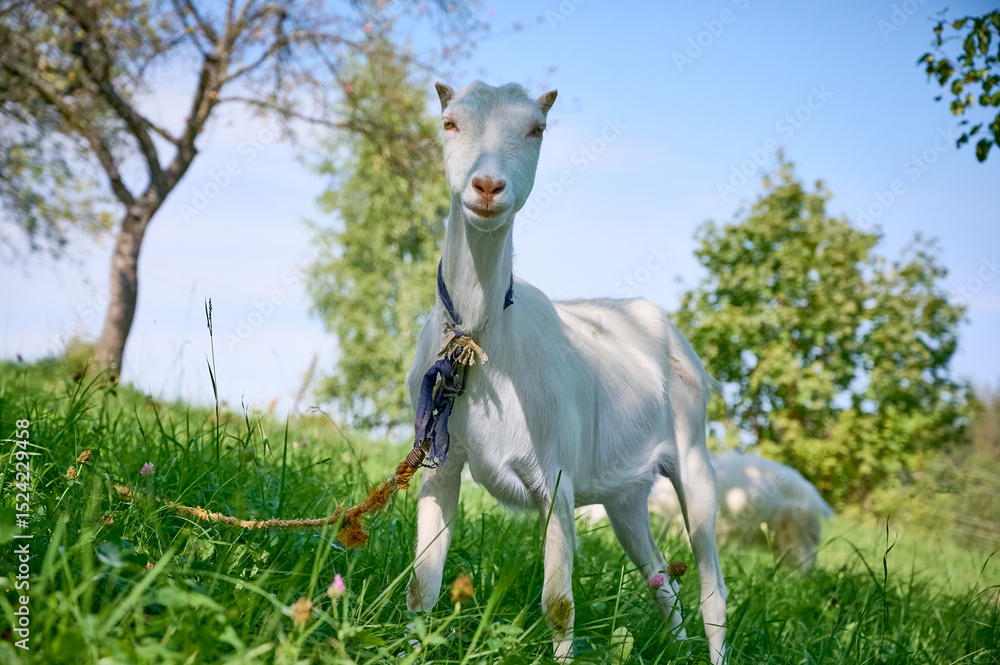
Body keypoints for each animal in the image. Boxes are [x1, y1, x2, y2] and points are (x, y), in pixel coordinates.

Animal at [405, 81, 727, 663]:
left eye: (537, 128)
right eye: (449, 122)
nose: (487, 186)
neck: (484, 347)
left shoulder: (556, 476)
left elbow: (558, 603)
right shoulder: (440, 462)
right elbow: (424, 584)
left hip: (695, 456)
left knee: (713, 590)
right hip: (626, 495)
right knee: (661, 579)